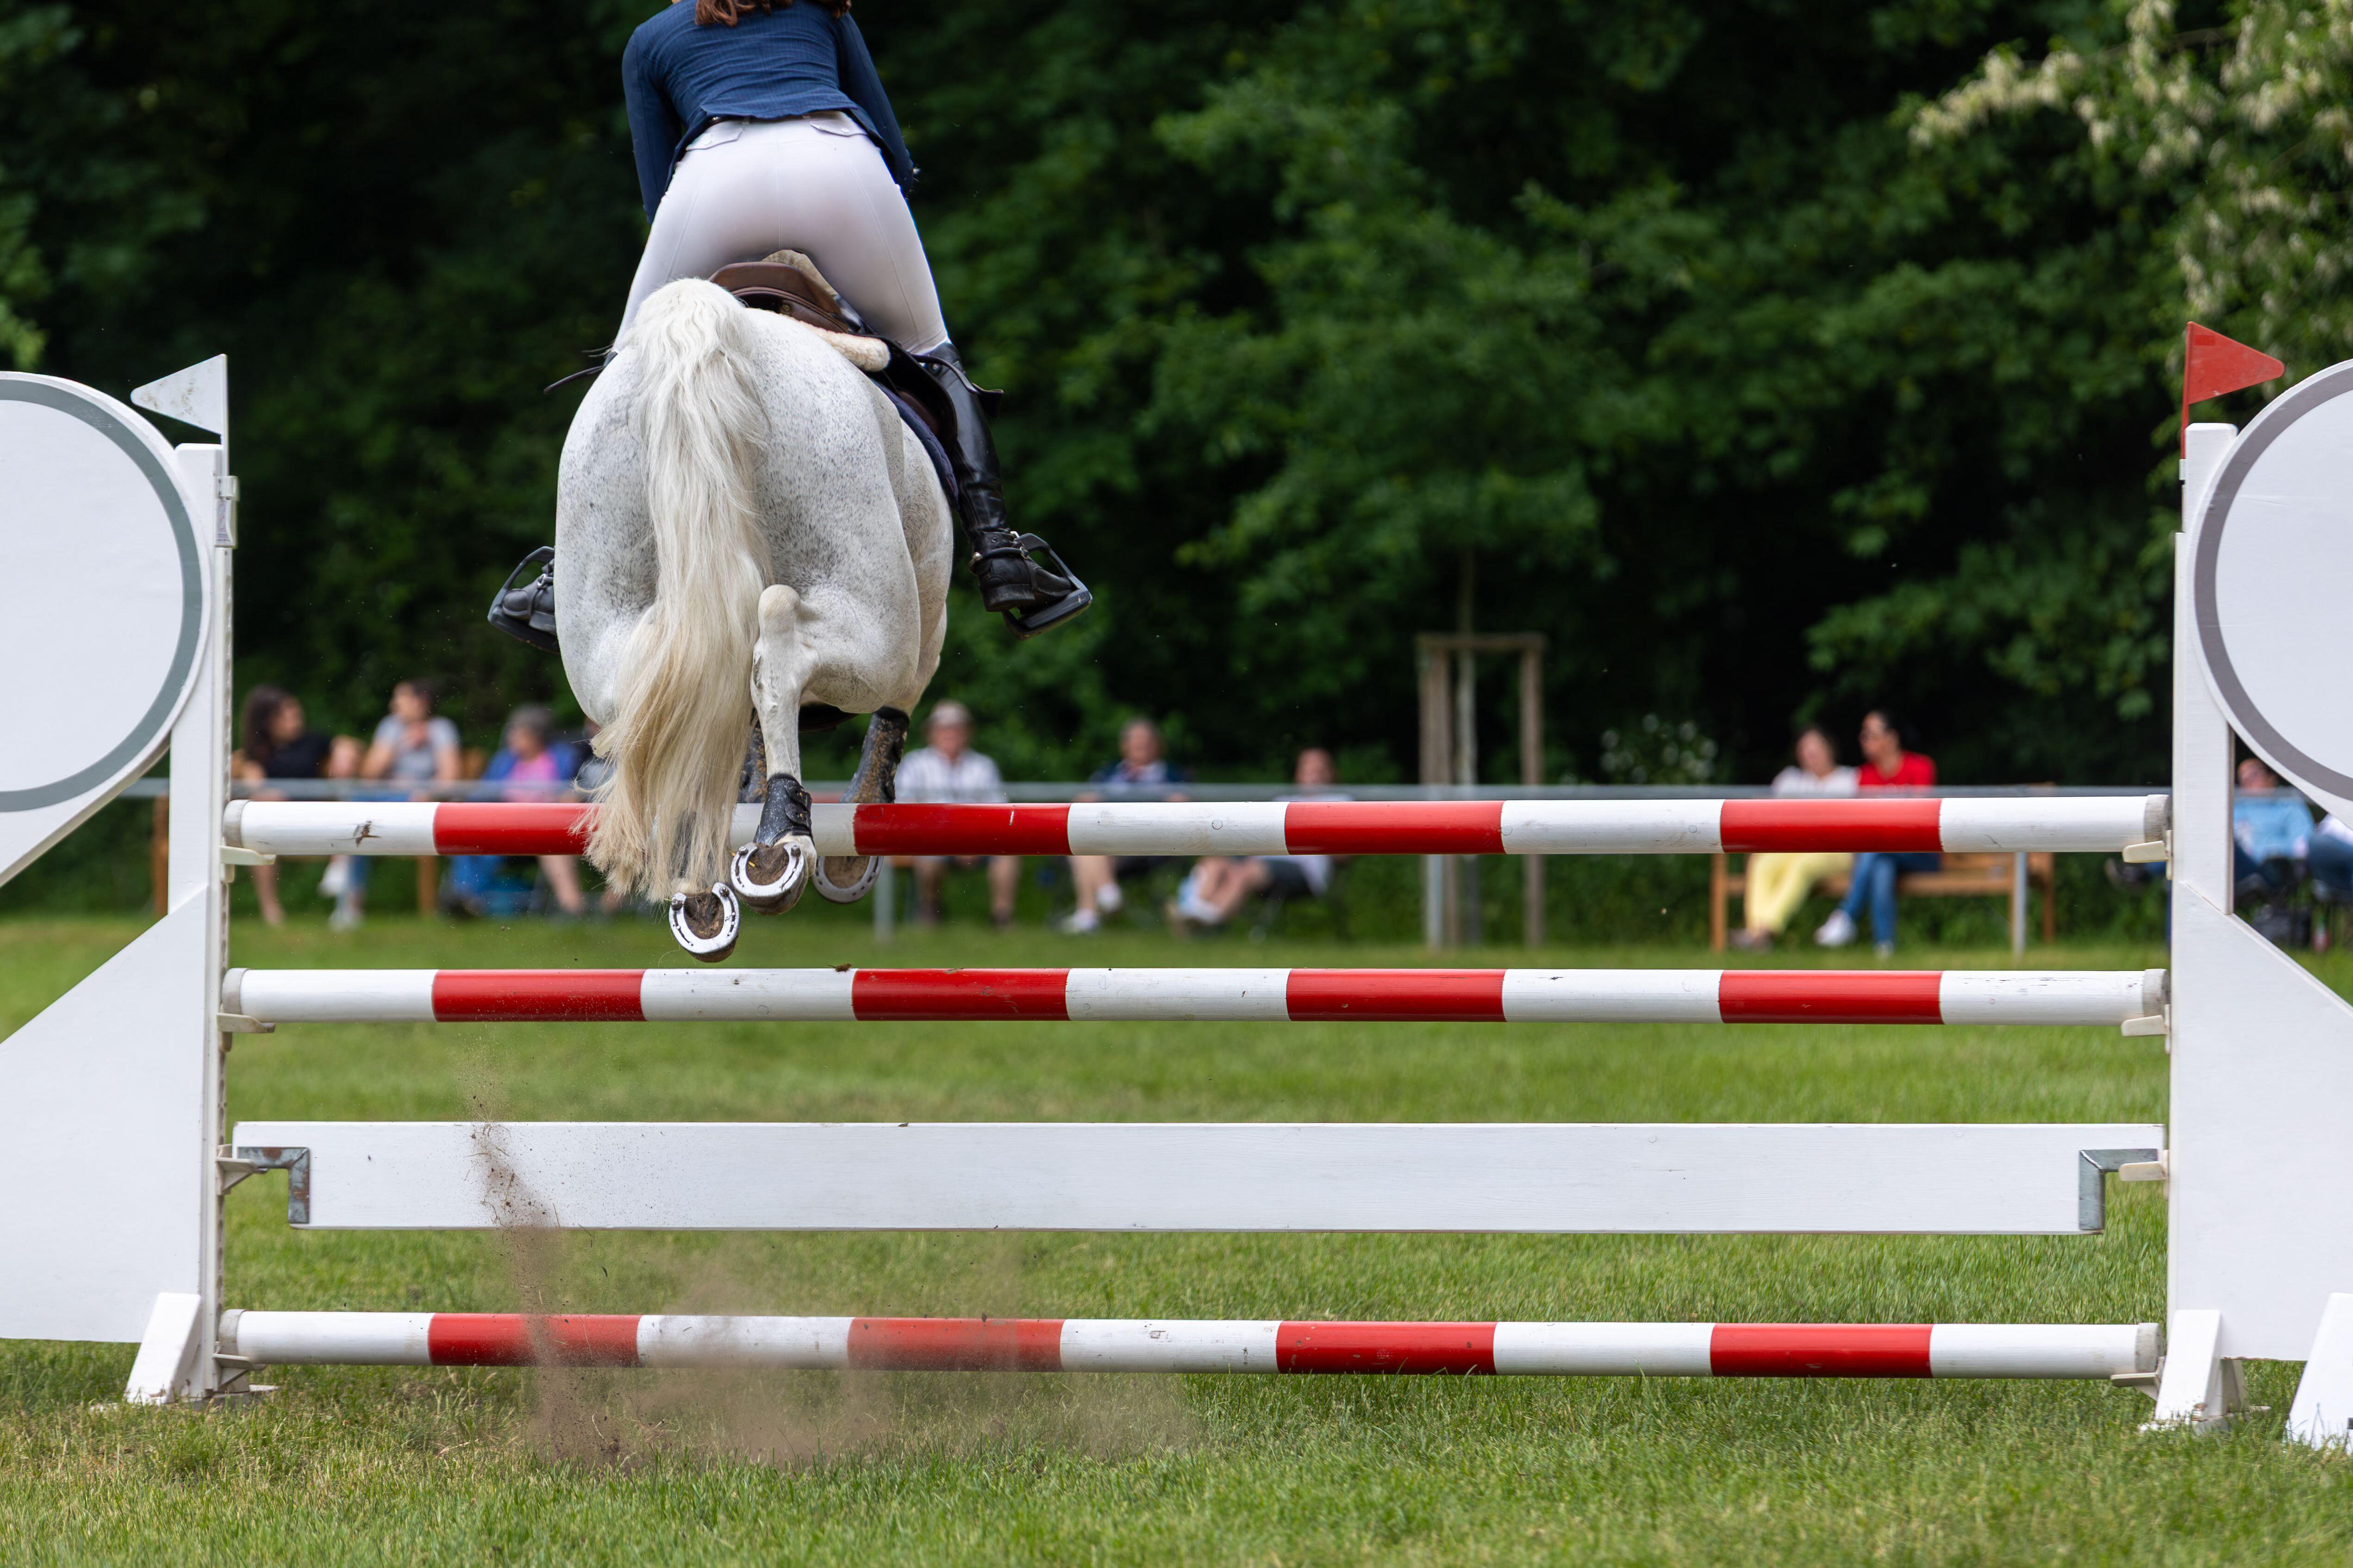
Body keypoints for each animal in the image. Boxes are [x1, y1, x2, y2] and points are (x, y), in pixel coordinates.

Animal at [555, 276, 951, 960]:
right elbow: (890, 717)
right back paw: (779, 843)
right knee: (782, 636)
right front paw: (849, 847)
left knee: (662, 687)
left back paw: (698, 882)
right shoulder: (926, 625)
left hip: (602, 628)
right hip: (882, 624)